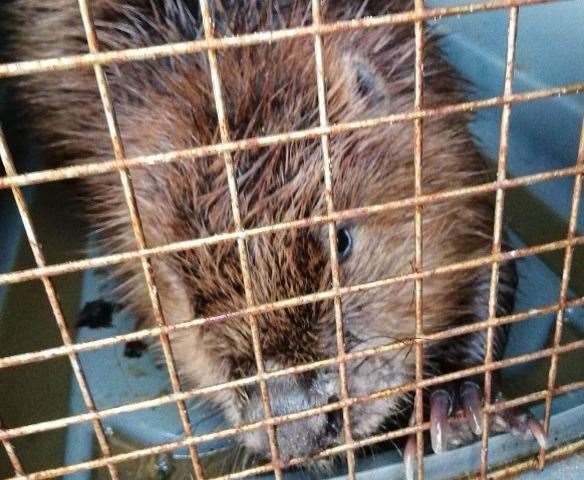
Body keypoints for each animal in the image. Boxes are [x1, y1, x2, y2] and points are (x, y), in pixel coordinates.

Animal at [2, 0, 544, 476]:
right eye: (191, 300)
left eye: (341, 241)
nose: (299, 432)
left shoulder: (452, 162)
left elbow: (498, 260)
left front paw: (457, 407)